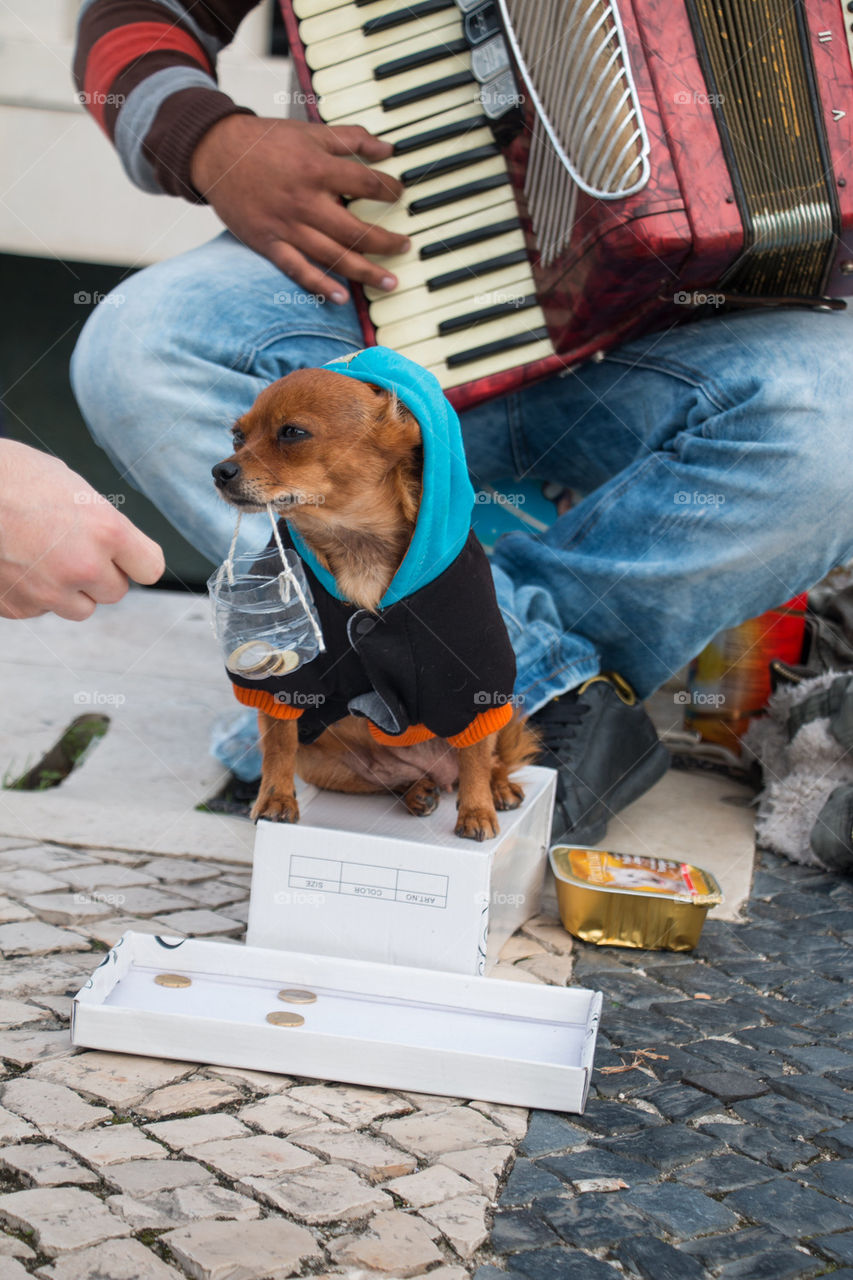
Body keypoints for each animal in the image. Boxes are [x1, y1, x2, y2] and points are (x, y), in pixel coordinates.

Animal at [211, 355, 532, 844]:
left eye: (292, 433)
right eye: (237, 437)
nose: (220, 470)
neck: (354, 542)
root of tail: (440, 774)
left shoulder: (472, 674)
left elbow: (476, 753)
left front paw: (476, 808)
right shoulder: (287, 681)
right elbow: (278, 743)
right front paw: (276, 798)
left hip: (505, 706)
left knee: (485, 756)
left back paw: (495, 787)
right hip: (323, 761)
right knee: (388, 780)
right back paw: (416, 791)